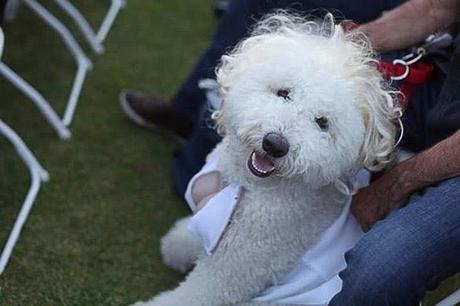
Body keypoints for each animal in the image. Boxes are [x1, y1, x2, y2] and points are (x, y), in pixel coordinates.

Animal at [132, 13, 398, 306]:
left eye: (322, 122)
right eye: (283, 93)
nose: (275, 144)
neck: (251, 184)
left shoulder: (234, 266)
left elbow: (195, 294)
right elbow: (197, 230)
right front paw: (177, 243)